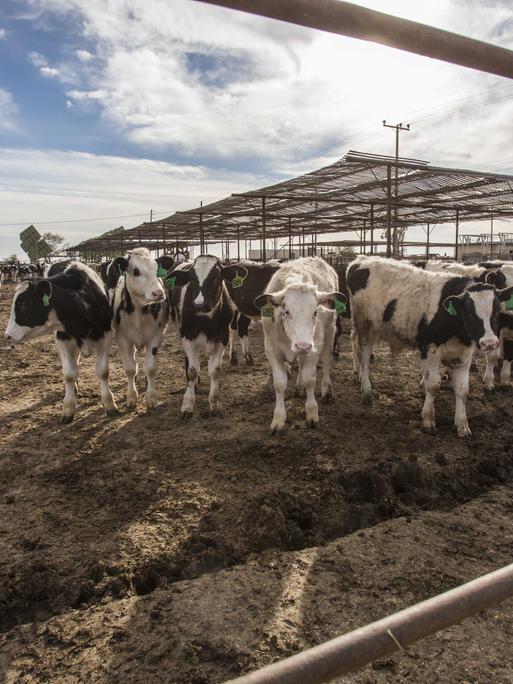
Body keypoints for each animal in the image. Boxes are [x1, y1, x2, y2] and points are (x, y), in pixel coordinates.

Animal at [4, 260, 116, 422]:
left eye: (25, 303)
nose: (7, 335)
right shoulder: (63, 340)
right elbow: (69, 374)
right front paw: (68, 408)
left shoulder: (105, 336)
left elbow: (103, 371)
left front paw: (109, 404)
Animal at [111, 248, 169, 408]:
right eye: (136, 271)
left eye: (156, 269)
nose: (159, 293)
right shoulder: (123, 340)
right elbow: (130, 369)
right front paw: (131, 396)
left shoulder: (155, 337)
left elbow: (150, 368)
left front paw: (151, 397)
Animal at [166, 255, 242, 416]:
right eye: (191, 278)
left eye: (217, 277)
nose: (199, 305)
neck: (206, 320)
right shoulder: (187, 336)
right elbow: (192, 370)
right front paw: (187, 404)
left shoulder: (222, 338)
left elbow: (215, 370)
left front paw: (214, 403)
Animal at [253, 256, 342, 432]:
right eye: (287, 311)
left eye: (315, 312)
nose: (303, 346)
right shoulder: (272, 349)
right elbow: (279, 383)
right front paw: (278, 418)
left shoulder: (313, 346)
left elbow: (310, 378)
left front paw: (312, 413)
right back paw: (299, 387)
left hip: (329, 332)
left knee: (327, 360)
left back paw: (326, 390)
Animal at [344, 256, 512, 438]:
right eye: (470, 312)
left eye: (496, 310)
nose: (489, 343)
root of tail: (362, 259)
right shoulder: (430, 350)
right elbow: (433, 385)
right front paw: (428, 418)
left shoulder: (465, 355)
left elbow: (462, 390)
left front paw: (462, 424)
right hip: (363, 324)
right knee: (363, 354)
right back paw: (366, 389)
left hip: (375, 327)